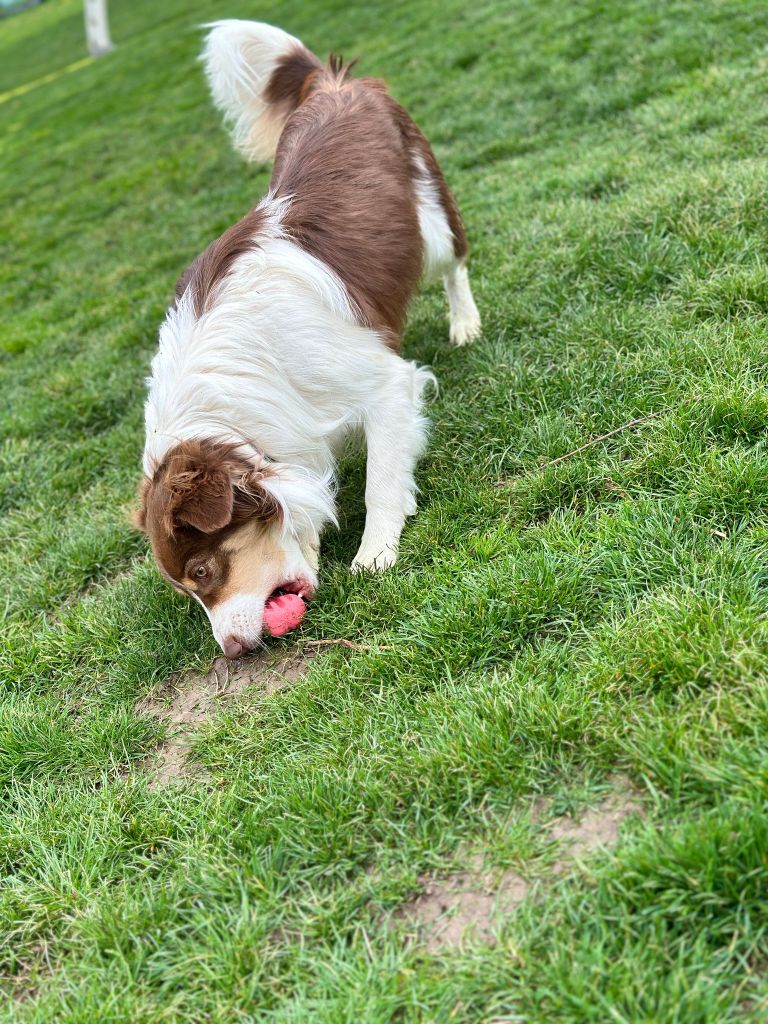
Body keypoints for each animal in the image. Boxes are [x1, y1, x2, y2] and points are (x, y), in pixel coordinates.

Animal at [133, 22, 481, 655]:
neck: (239, 415)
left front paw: (375, 552)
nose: (232, 651)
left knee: (454, 263)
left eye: (202, 570)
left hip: (430, 213)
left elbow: (380, 480)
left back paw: (464, 322)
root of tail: (335, 81)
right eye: (190, 590)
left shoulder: (381, 382)